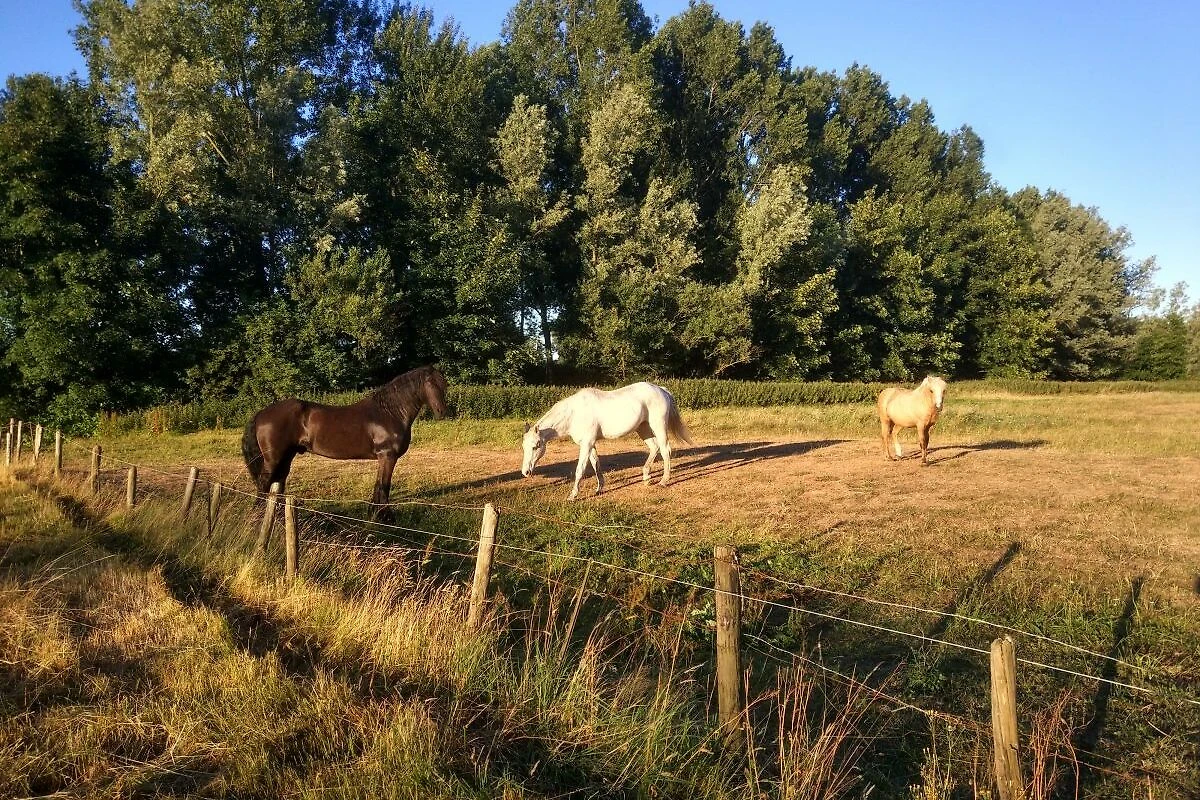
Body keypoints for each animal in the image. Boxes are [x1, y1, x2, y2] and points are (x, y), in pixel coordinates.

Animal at [241, 365, 448, 514]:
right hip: (273, 458)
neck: (389, 413)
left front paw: (374, 515)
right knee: (263, 484)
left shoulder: (383, 458)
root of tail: (261, 414)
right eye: (431, 384)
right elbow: (384, 486)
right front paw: (385, 517)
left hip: (286, 457)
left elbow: (378, 486)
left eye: (444, 384)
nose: (442, 412)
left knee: (277, 484)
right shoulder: (388, 456)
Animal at [521, 381, 694, 500]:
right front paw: (599, 489)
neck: (574, 414)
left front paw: (573, 495)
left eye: (536, 446)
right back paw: (646, 477)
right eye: (524, 447)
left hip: (658, 425)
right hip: (643, 428)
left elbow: (580, 469)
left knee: (665, 450)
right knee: (654, 447)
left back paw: (664, 481)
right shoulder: (590, 444)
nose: (525, 472)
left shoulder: (586, 444)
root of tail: (662, 390)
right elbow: (596, 464)